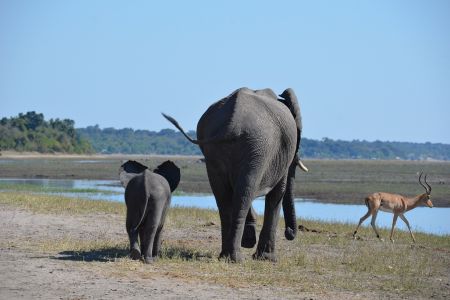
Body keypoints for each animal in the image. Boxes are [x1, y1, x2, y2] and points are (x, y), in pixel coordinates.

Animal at [163, 87, 308, 262]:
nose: (290, 232)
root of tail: (232, 125)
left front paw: (250, 243)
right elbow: (278, 192)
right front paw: (268, 258)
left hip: (216, 150)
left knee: (226, 196)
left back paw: (225, 256)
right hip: (257, 147)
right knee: (246, 191)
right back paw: (235, 258)